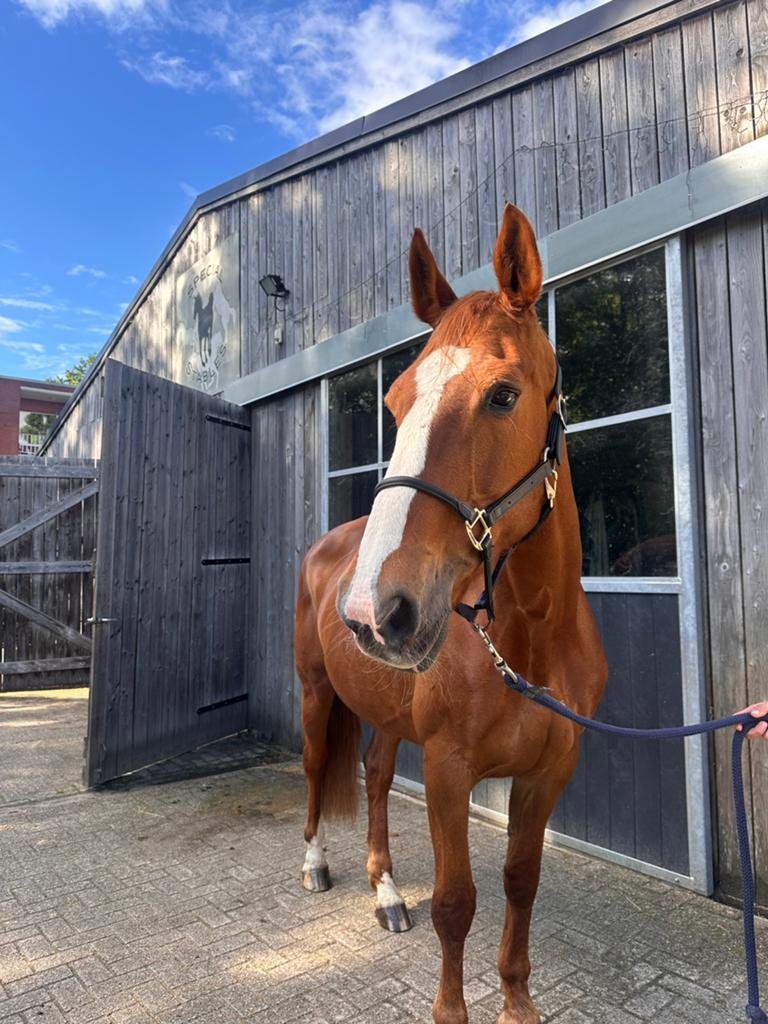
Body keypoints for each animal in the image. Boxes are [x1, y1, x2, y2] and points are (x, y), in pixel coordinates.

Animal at [294, 204, 608, 1024]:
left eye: (502, 394)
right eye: (395, 401)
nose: (374, 609)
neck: (528, 640)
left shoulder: (549, 773)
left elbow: (520, 884)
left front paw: (518, 1004)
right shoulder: (446, 770)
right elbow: (456, 904)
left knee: (374, 776)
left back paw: (384, 892)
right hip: (315, 695)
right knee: (315, 770)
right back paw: (315, 864)